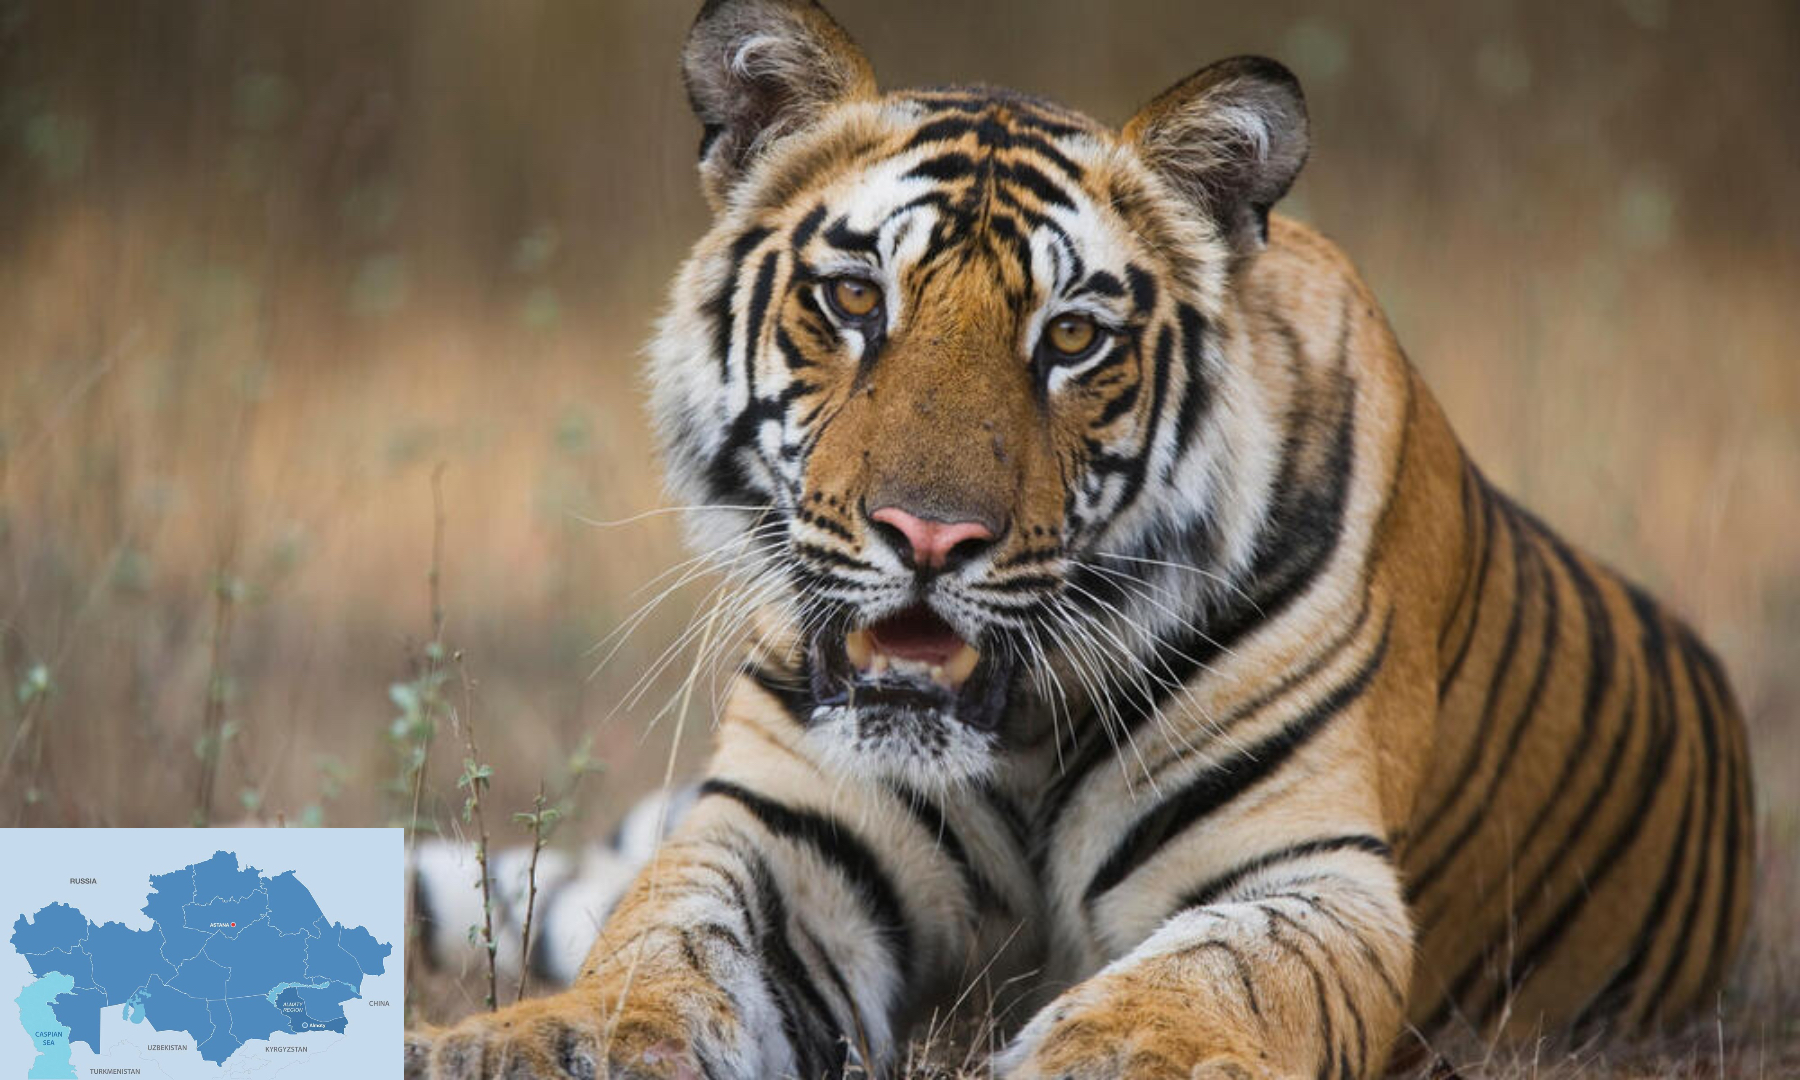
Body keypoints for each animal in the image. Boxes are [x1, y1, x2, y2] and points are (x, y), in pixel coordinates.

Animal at [405, 1, 1755, 1077]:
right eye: (855, 299)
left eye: (1070, 338)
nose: (929, 534)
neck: (1016, 734)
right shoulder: (779, 830)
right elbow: (658, 955)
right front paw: (526, 1042)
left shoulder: (1310, 871)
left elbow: (1201, 985)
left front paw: (1108, 1054)